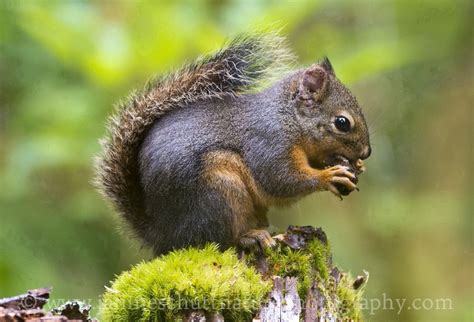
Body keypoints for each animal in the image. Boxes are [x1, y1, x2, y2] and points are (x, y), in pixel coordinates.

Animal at [94, 32, 372, 254]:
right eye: (342, 122)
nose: (367, 152)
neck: (289, 119)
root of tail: (163, 236)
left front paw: (355, 166)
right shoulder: (269, 142)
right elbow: (281, 180)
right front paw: (329, 176)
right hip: (218, 191)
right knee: (217, 241)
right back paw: (250, 237)